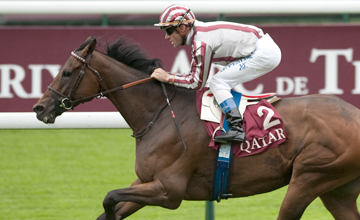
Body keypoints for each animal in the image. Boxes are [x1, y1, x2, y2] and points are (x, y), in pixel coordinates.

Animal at [33, 36, 360, 220]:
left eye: (67, 72)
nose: (40, 108)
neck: (160, 114)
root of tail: (354, 114)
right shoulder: (145, 182)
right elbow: (109, 207)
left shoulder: (169, 191)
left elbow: (110, 198)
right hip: (337, 190)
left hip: (310, 176)